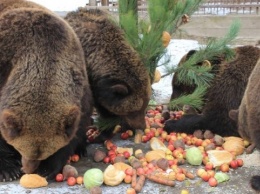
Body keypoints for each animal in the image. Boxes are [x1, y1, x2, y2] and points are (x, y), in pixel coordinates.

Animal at [0, 0, 93, 182]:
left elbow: (75, 129)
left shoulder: (80, 87)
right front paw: (8, 170)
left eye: (43, 154)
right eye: (21, 148)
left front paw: (48, 167)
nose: (28, 169)